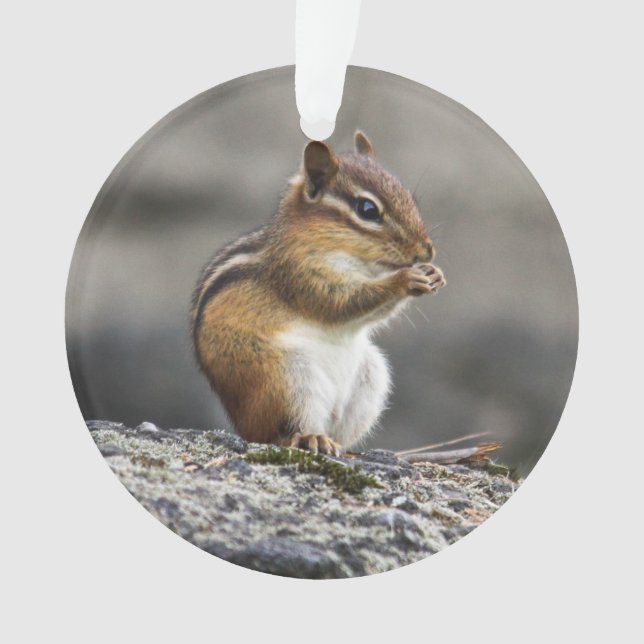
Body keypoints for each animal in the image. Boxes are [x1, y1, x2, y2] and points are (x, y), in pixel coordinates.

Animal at [191, 131, 445, 457]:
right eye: (367, 210)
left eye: (411, 199)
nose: (427, 251)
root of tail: (243, 428)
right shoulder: (300, 275)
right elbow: (339, 303)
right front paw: (404, 279)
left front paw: (433, 274)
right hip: (285, 377)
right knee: (279, 433)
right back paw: (311, 438)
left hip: (371, 376)